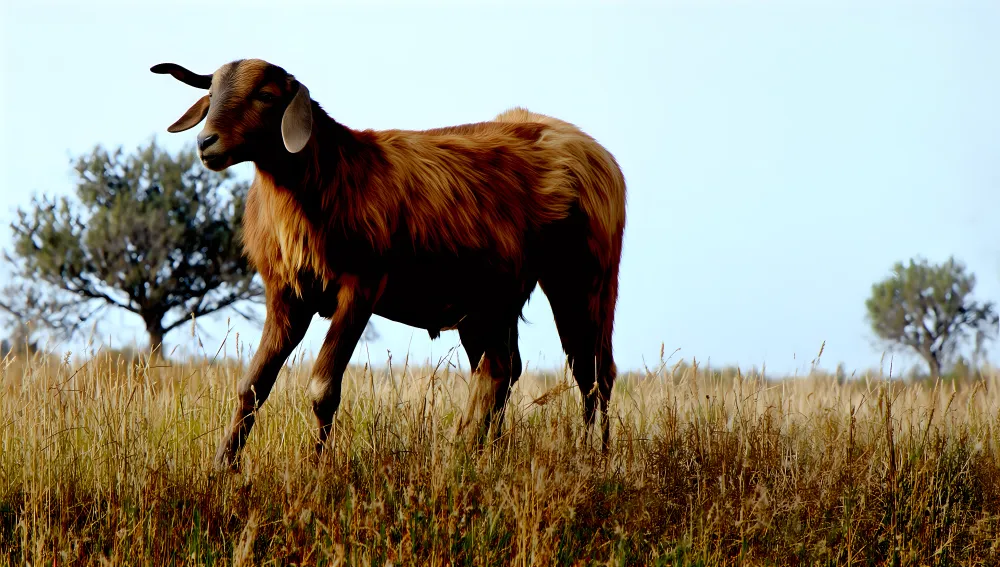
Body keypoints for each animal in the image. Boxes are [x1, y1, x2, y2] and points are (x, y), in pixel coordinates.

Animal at [151, 58, 627, 470]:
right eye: (210, 94)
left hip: (584, 279)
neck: (325, 178)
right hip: (490, 301)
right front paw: (221, 467)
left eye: (266, 95)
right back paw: (479, 450)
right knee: (502, 369)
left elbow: (323, 388)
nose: (206, 143)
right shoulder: (287, 296)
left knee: (593, 372)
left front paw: (315, 465)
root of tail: (598, 154)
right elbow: (252, 385)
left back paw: (592, 457)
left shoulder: (361, 285)